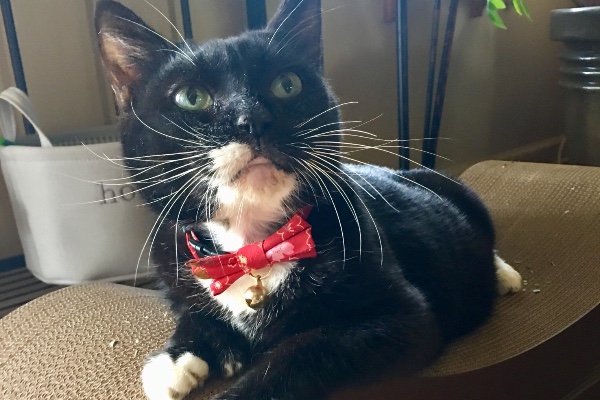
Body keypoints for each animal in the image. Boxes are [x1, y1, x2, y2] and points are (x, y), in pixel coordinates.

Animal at [94, 1, 522, 399]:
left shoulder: (404, 318)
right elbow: (192, 311)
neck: (252, 248)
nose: (253, 120)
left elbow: (298, 356)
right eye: (191, 97)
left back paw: (503, 274)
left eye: (287, 84)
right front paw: (176, 358)